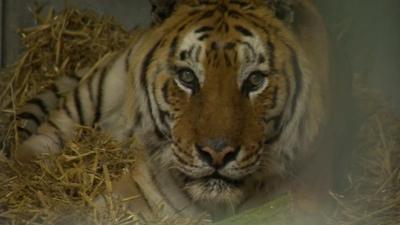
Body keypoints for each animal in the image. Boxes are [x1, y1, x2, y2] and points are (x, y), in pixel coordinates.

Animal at [14, 0, 330, 221]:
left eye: (254, 80)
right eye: (187, 77)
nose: (217, 154)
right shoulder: (128, 193)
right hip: (99, 87)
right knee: (42, 138)